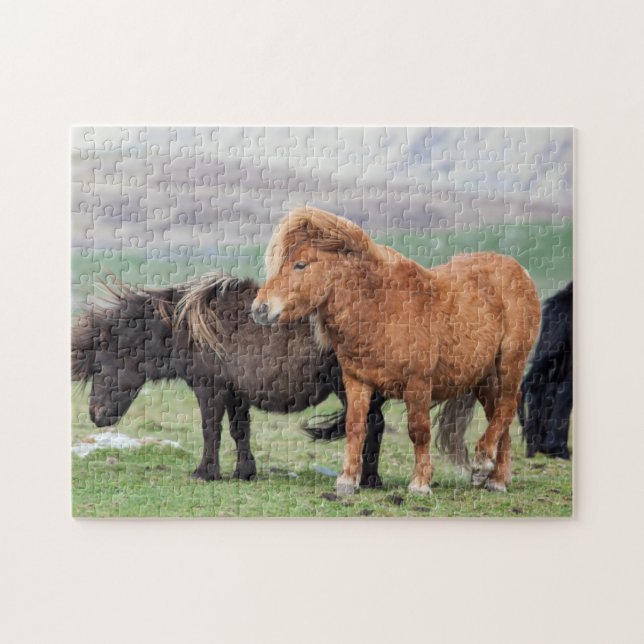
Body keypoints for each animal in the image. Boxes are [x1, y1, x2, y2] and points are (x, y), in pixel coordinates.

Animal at [71, 275, 387, 486]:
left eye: (98, 367)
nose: (96, 415)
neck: (187, 328)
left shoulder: (209, 389)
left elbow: (211, 430)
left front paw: (205, 472)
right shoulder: (236, 394)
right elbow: (239, 431)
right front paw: (244, 472)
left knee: (370, 425)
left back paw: (366, 480)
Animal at [252, 207, 541, 495]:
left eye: (301, 264)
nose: (259, 309)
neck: (381, 309)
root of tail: (519, 271)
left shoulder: (418, 384)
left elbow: (419, 431)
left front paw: (420, 483)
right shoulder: (357, 382)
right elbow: (355, 426)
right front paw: (347, 480)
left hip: (509, 362)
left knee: (507, 405)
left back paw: (484, 462)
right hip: (482, 376)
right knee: (499, 414)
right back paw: (495, 477)